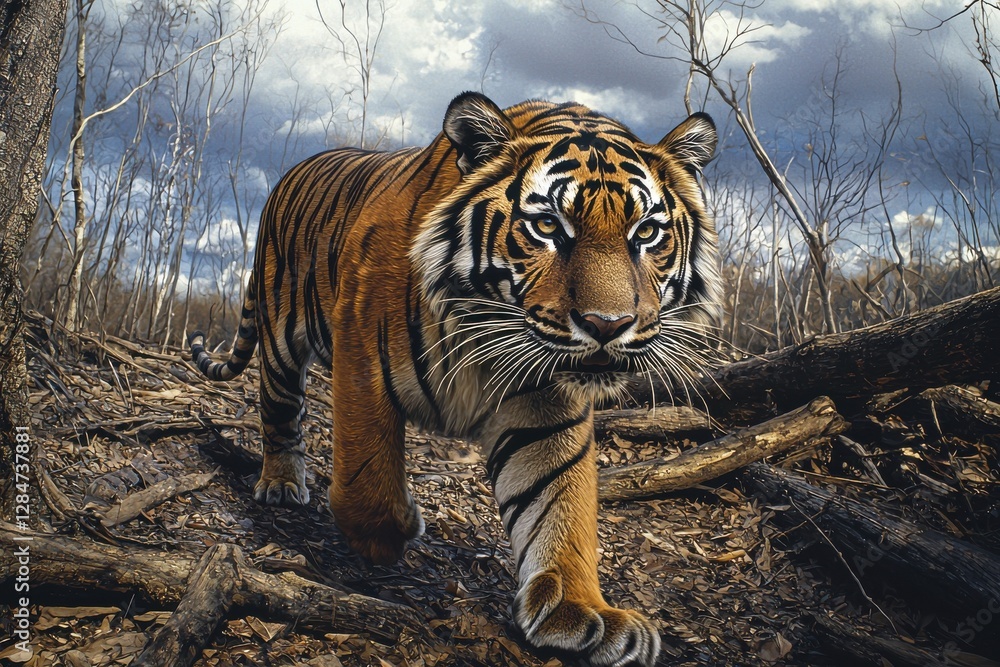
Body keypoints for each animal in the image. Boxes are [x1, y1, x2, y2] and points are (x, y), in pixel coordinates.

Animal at [189, 91, 719, 667]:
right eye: (548, 227)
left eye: (645, 233)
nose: (607, 325)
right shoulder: (363, 361)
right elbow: (366, 475)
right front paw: (391, 535)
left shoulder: (546, 405)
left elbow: (560, 500)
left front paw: (581, 611)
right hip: (280, 335)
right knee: (280, 411)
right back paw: (282, 484)